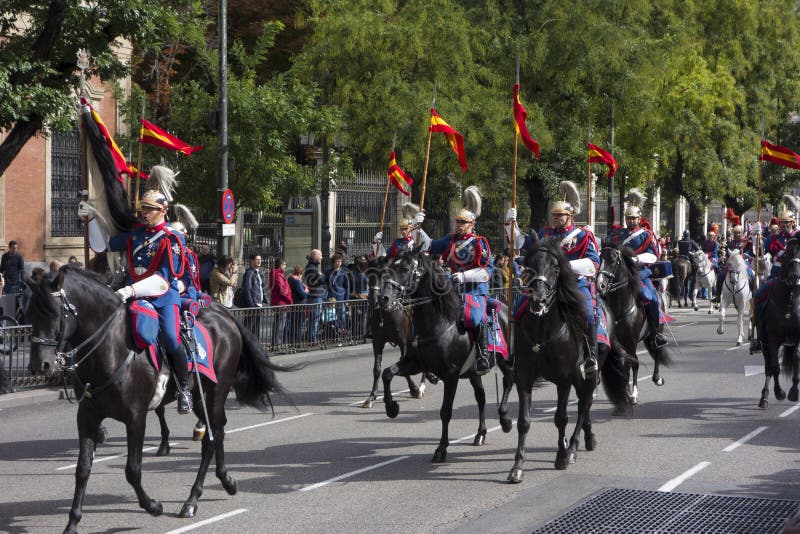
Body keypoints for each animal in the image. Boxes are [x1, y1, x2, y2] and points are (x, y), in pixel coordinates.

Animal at [28, 268, 298, 534]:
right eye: (31, 313)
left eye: (54, 312)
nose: (39, 365)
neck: (111, 347)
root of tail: (226, 315)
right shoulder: (87, 416)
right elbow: (82, 469)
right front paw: (72, 523)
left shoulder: (136, 418)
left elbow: (132, 470)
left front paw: (153, 506)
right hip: (200, 398)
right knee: (218, 431)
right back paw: (226, 480)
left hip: (216, 391)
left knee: (210, 440)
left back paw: (192, 500)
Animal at [378, 250, 516, 464]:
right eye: (389, 267)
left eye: (406, 268)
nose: (383, 298)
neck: (437, 323)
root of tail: (503, 306)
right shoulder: (415, 364)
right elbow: (387, 373)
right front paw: (392, 408)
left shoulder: (451, 375)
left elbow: (446, 411)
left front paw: (441, 449)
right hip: (474, 372)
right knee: (481, 397)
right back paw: (480, 433)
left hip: (504, 360)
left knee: (508, 380)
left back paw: (505, 420)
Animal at [506, 241, 632, 484]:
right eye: (529, 265)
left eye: (555, 268)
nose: (537, 299)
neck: (542, 332)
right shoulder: (524, 377)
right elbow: (524, 421)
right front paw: (517, 466)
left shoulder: (562, 379)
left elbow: (561, 418)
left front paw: (561, 457)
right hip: (578, 376)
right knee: (585, 403)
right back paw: (587, 437)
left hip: (590, 371)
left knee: (584, 404)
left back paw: (573, 447)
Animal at [596, 244, 672, 406]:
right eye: (600, 259)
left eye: (613, 261)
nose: (600, 285)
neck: (620, 308)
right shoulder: (616, 342)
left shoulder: (630, 341)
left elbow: (631, 365)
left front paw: (632, 394)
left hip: (655, 332)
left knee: (656, 351)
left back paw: (656, 379)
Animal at [756, 239, 800, 410]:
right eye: (787, 253)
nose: (795, 276)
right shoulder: (772, 338)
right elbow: (775, 367)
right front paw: (779, 392)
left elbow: (796, 360)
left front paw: (794, 392)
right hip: (766, 344)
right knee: (768, 367)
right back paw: (764, 396)